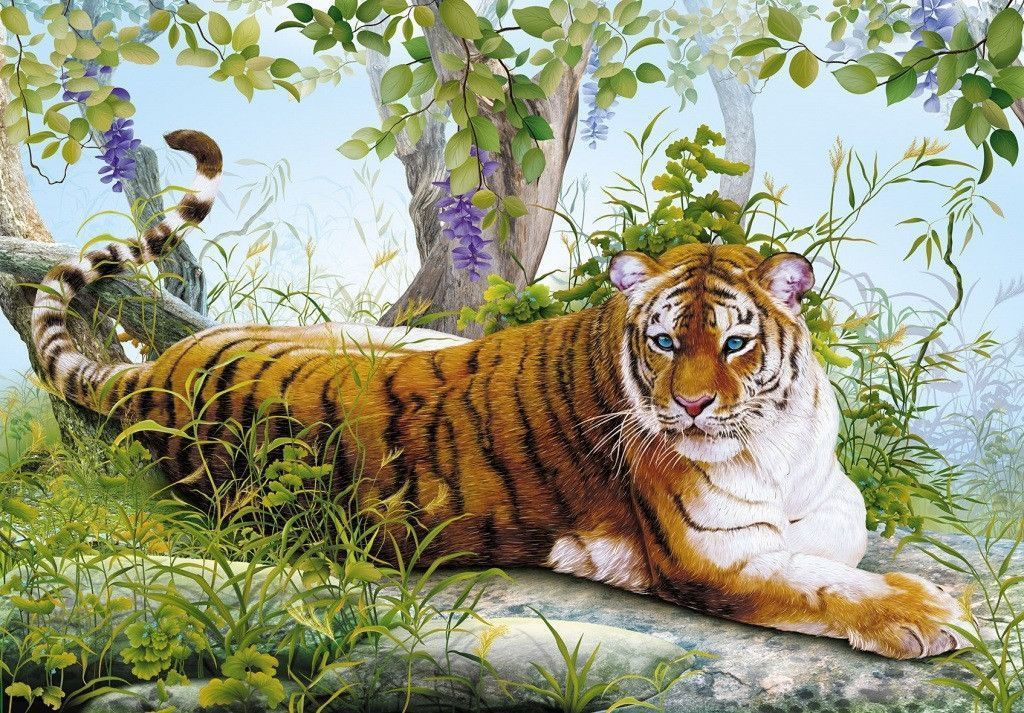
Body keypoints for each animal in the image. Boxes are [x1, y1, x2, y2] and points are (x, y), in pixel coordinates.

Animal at [31, 130, 972, 660]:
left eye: (736, 343)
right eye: (666, 340)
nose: (694, 408)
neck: (774, 442)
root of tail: (156, 373)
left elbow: (840, 538)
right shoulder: (713, 556)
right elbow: (820, 584)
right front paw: (923, 610)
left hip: (405, 335)